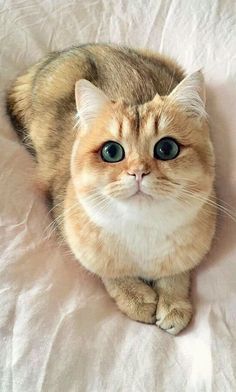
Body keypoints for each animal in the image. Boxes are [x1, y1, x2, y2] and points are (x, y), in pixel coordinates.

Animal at [6, 44, 217, 336]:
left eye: (167, 148)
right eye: (111, 151)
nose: (138, 171)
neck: (142, 229)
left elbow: (177, 273)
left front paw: (174, 303)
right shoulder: (71, 228)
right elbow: (110, 273)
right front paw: (135, 298)